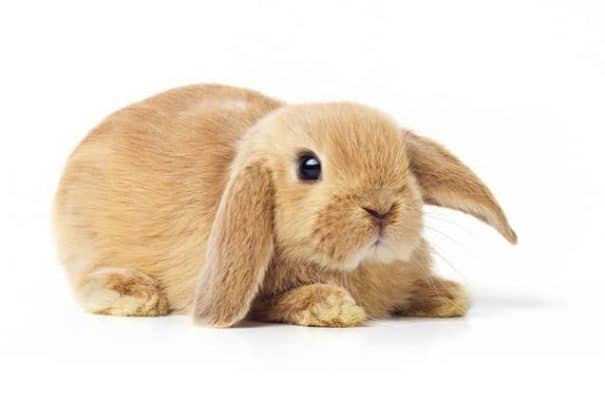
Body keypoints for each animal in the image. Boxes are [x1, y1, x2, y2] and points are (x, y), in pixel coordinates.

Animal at [54, 83, 516, 326]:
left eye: (405, 163)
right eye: (309, 167)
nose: (382, 208)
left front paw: (444, 295)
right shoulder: (255, 296)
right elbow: (274, 301)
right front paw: (331, 305)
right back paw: (135, 294)